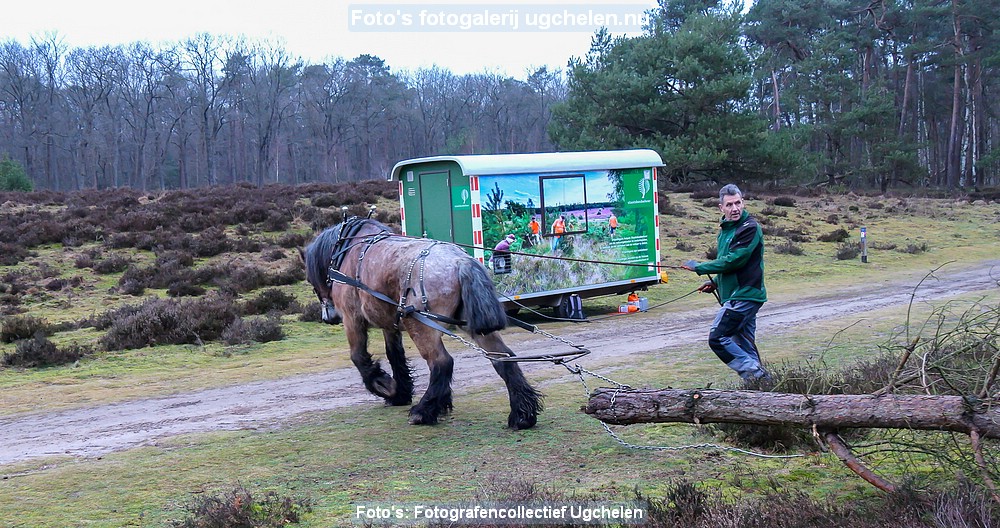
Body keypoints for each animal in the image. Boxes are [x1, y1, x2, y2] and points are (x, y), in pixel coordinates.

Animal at [300, 218, 544, 428]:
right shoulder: (390, 325)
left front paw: (385, 386)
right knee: (504, 359)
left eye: (311, 280)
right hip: (471, 326)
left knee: (442, 362)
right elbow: (395, 356)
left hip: (420, 325)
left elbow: (359, 357)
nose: (327, 317)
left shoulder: (353, 320)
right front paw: (401, 393)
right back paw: (522, 414)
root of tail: (461, 261)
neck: (348, 250)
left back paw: (424, 411)